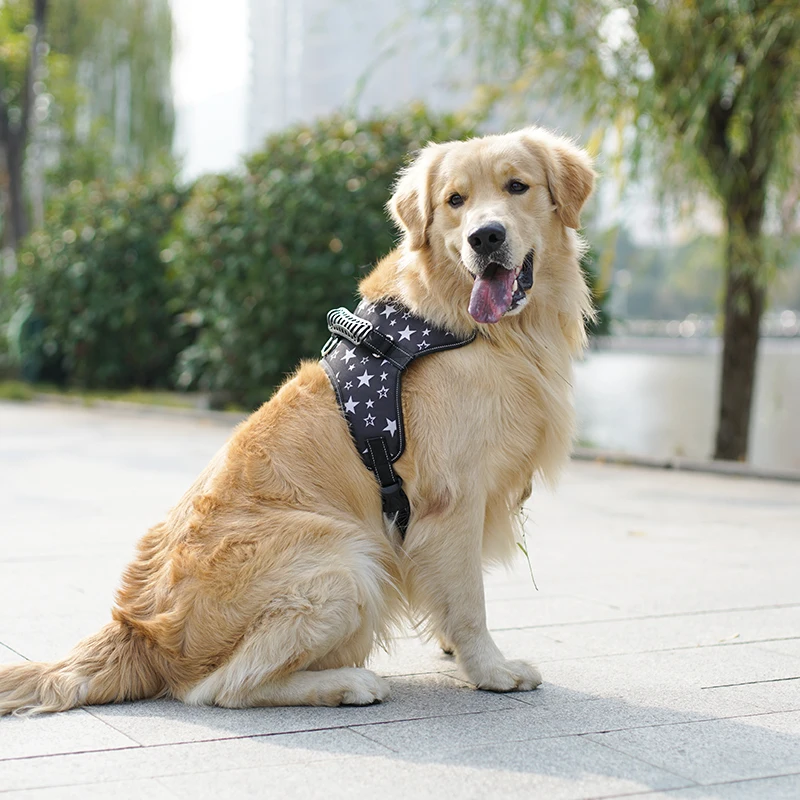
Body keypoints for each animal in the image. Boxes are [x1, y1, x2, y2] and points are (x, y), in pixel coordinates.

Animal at [0, 128, 592, 716]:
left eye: (517, 187)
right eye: (455, 201)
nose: (485, 238)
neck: (476, 326)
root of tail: (138, 630)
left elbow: (451, 595)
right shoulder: (454, 498)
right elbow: (469, 601)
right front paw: (491, 670)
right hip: (345, 560)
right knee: (219, 689)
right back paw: (348, 683)